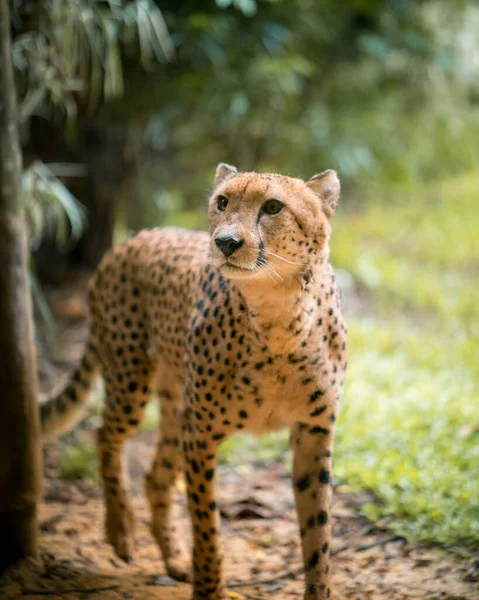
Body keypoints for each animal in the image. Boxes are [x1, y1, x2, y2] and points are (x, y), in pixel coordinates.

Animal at [41, 164, 348, 600]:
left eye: (273, 207)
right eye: (222, 202)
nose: (225, 242)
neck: (278, 318)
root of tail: (135, 236)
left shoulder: (314, 434)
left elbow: (318, 534)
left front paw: (318, 589)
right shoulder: (202, 435)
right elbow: (207, 525)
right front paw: (209, 588)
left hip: (176, 407)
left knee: (155, 476)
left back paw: (173, 559)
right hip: (131, 382)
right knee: (105, 435)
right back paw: (122, 532)